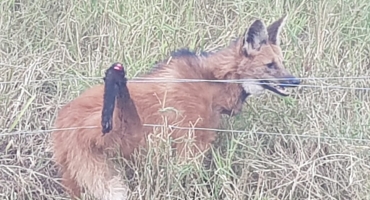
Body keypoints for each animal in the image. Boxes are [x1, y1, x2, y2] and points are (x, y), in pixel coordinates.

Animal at [52, 15, 300, 200]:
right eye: (270, 66)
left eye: (282, 63)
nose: (296, 81)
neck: (215, 83)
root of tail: (64, 119)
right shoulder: (190, 145)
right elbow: (186, 176)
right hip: (110, 146)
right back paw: (116, 79)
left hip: (75, 175)